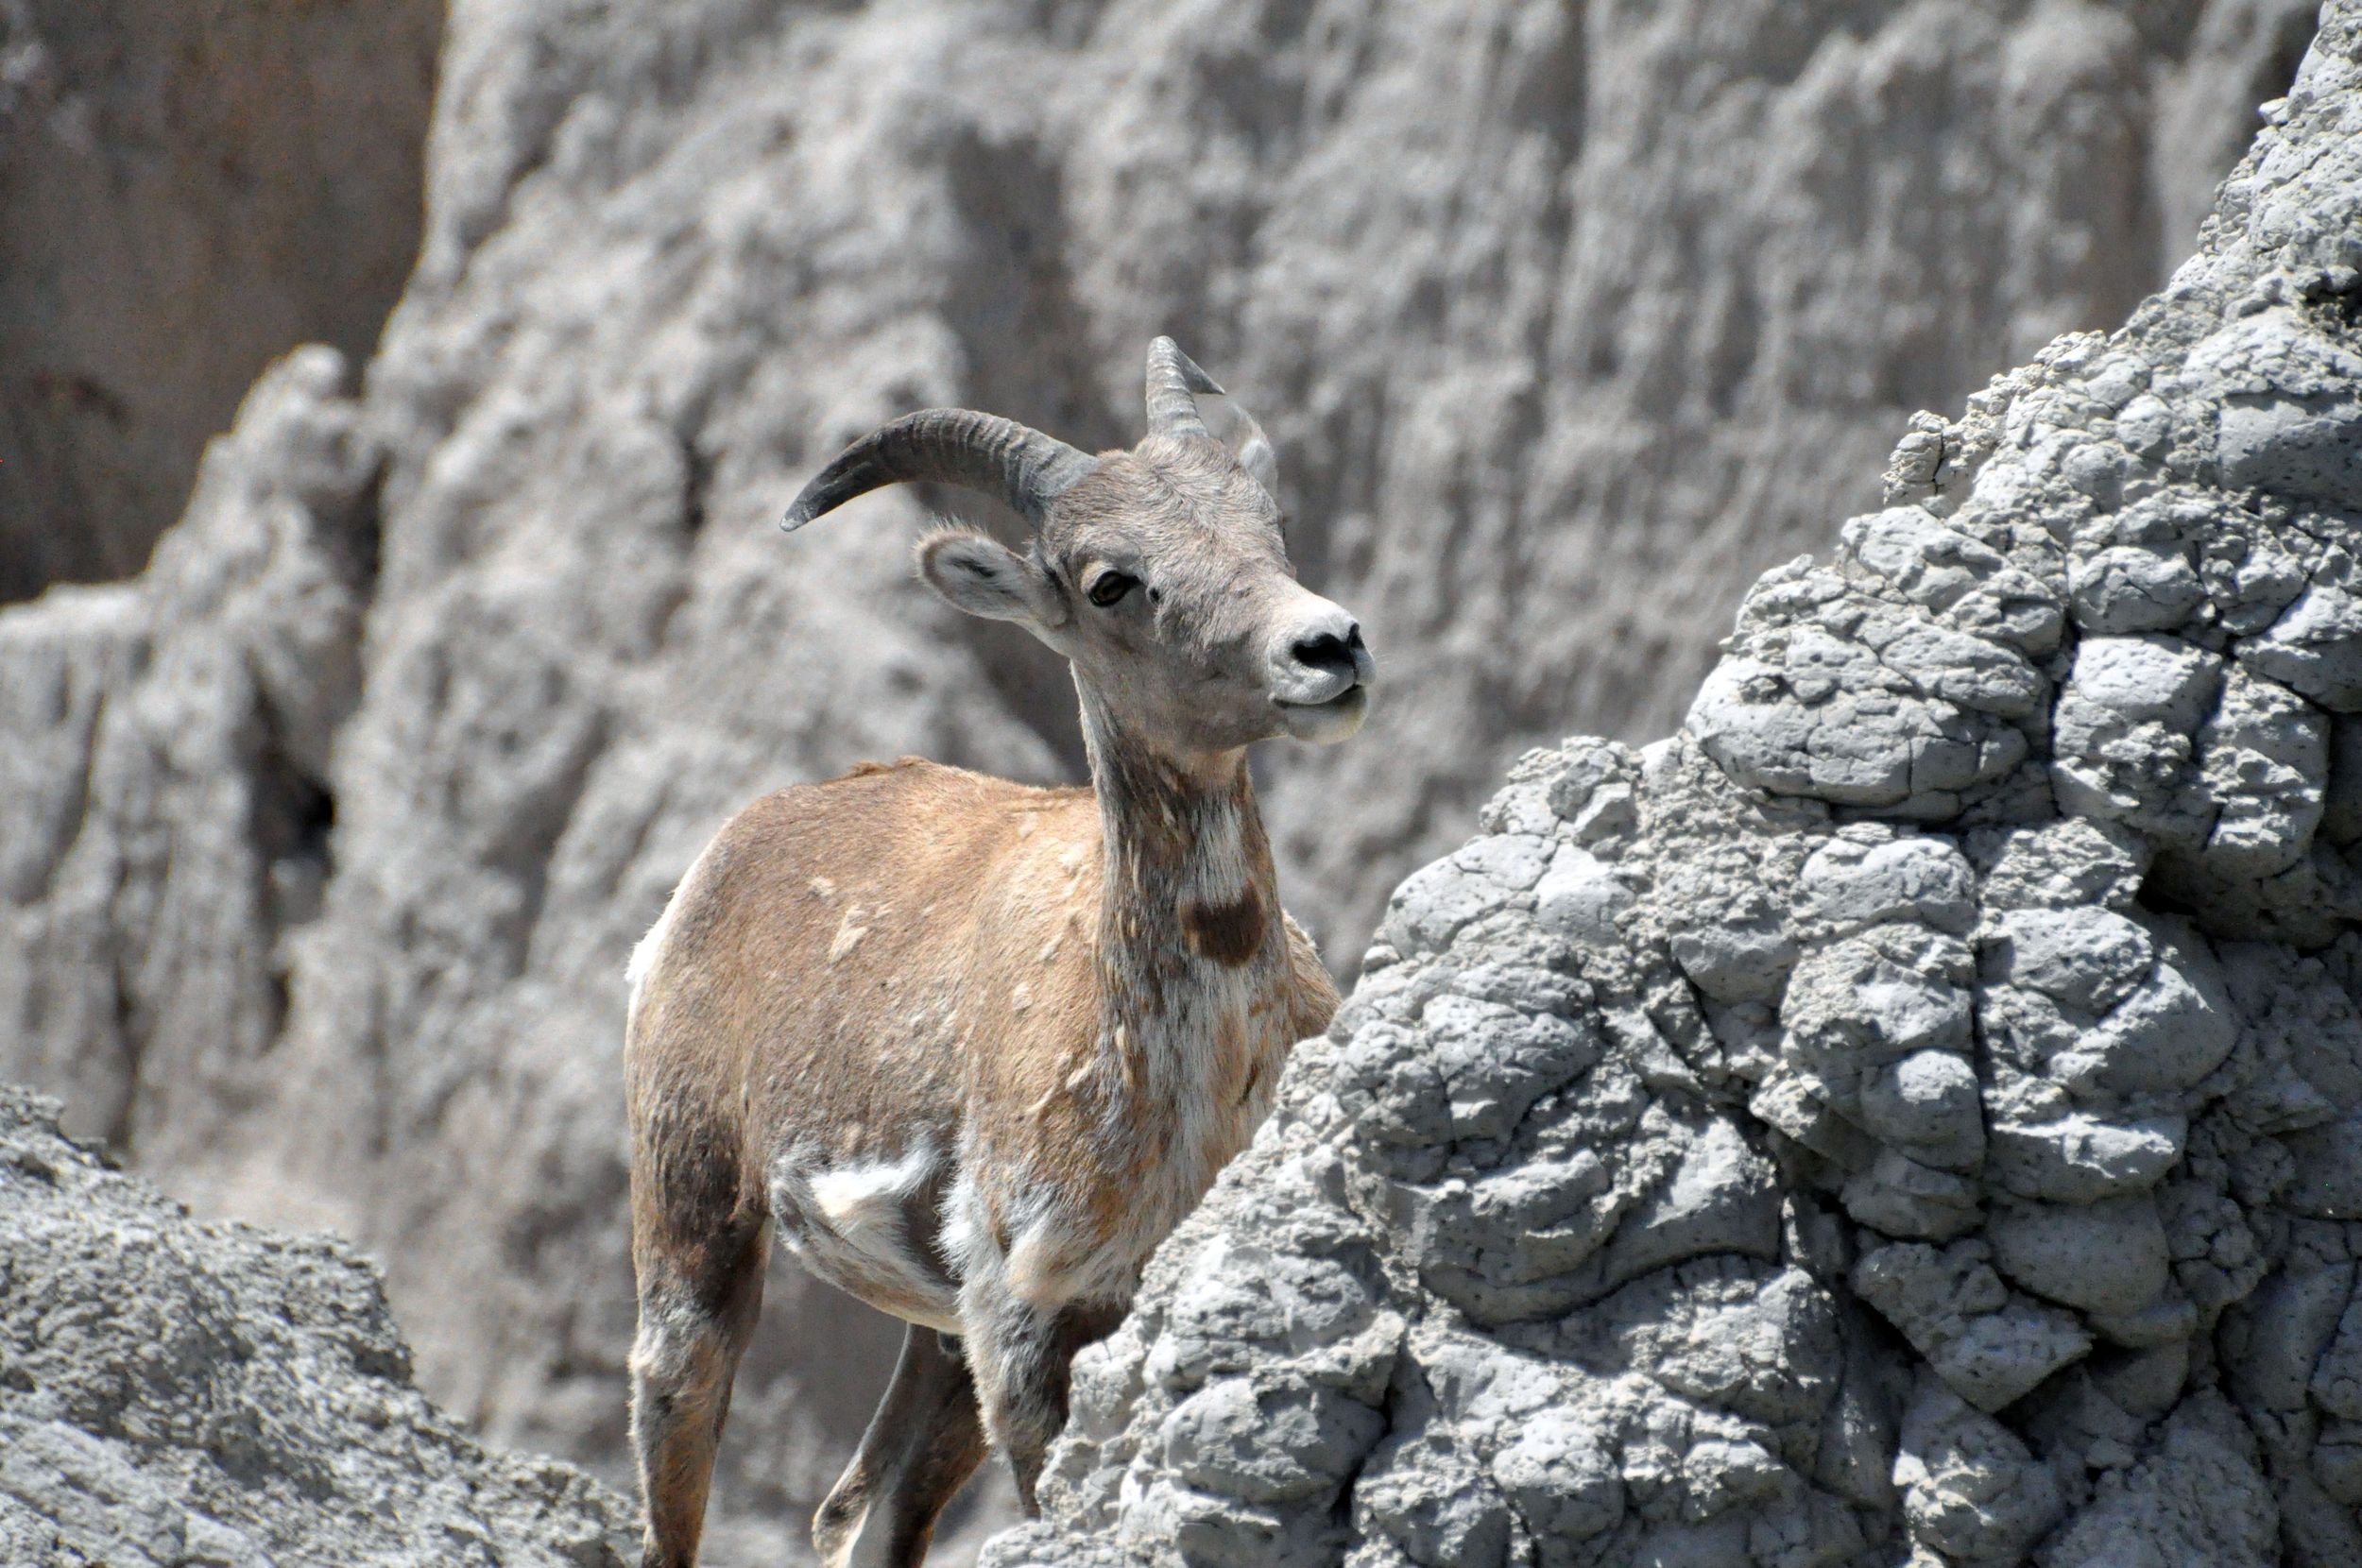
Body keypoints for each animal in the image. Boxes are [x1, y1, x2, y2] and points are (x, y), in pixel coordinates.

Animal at [624, 338, 1373, 1567]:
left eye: (1266, 523)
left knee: (860, 1511)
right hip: (694, 1219)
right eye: (1111, 580)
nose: (1326, 646)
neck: (1193, 1067)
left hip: (934, 1337)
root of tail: (726, 855)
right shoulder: (1031, 1317)